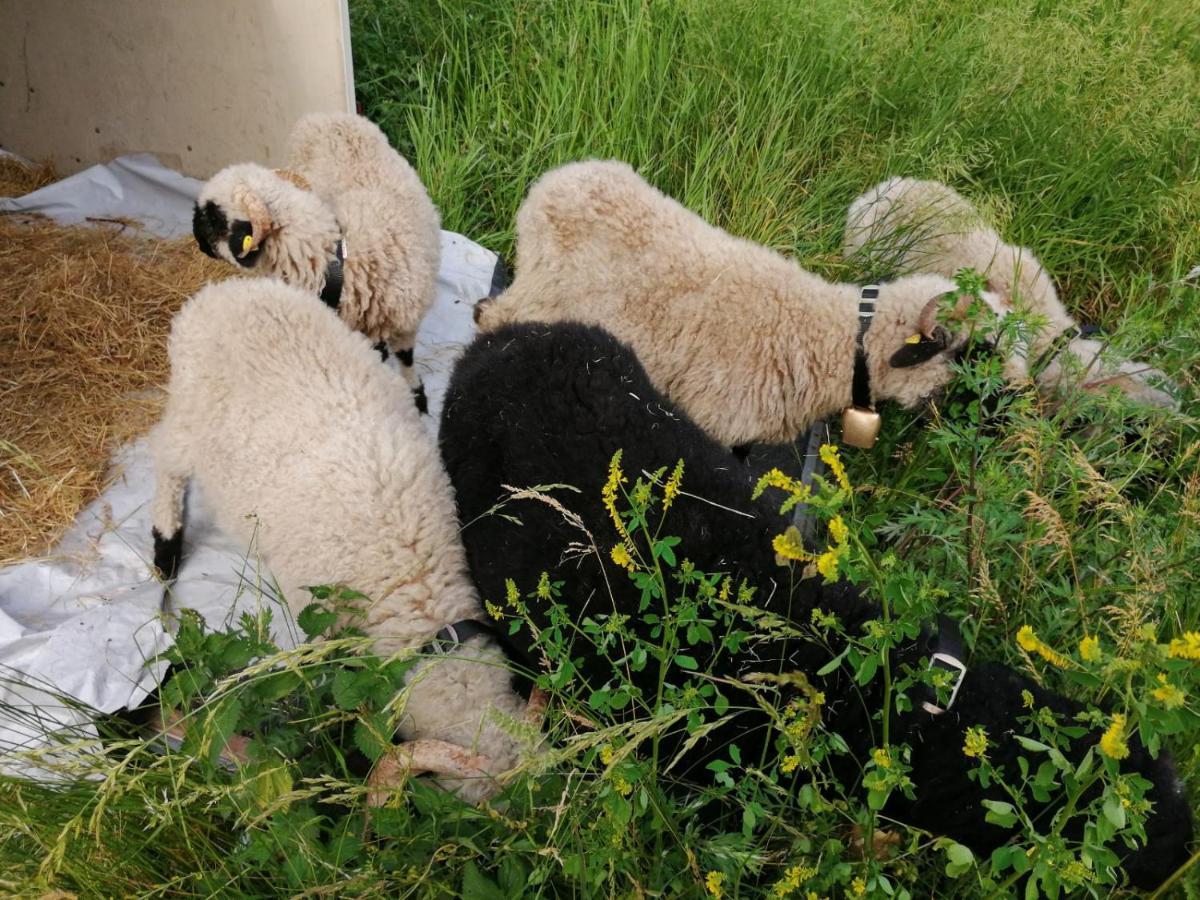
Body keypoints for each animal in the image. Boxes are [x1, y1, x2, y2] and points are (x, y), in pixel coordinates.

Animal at [192, 112, 441, 412]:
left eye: (213, 217)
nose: (196, 238)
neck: (341, 260)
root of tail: (322, 115)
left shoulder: (404, 325)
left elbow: (406, 359)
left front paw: (418, 396)